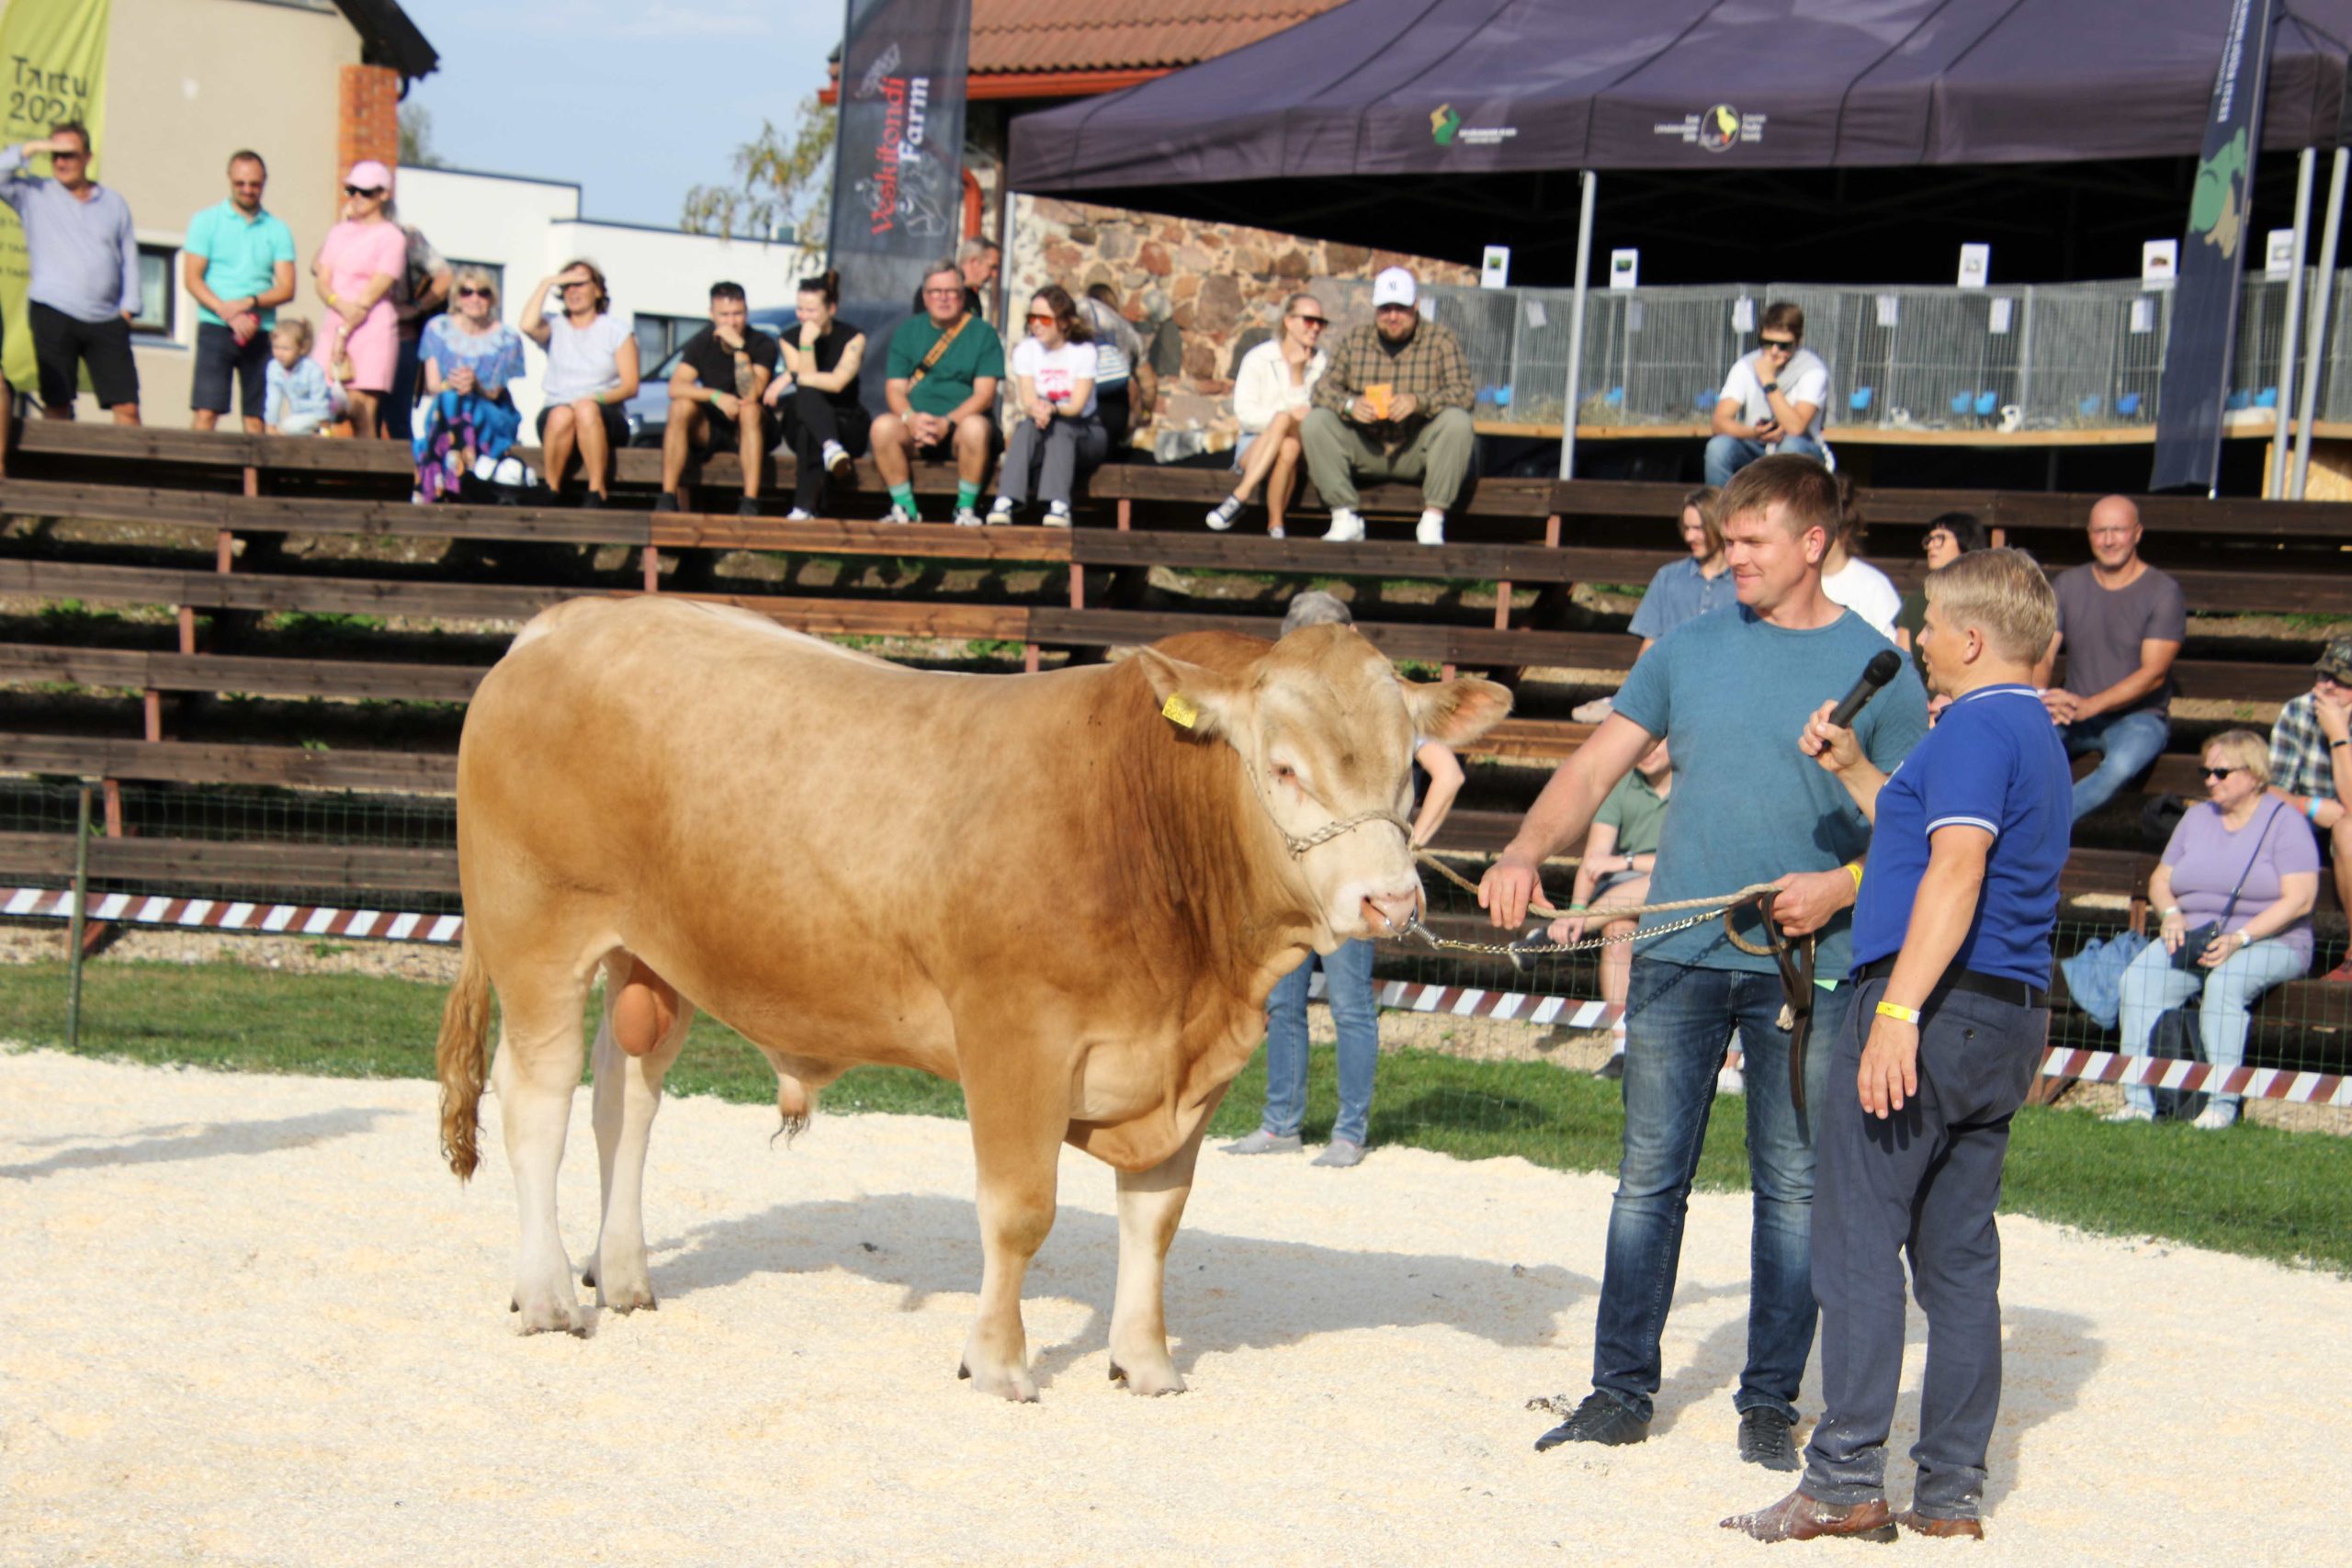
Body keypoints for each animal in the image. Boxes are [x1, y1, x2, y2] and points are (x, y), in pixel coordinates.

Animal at [439, 597, 1505, 1401]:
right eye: (1284, 766)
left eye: (1407, 768)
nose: (1389, 900)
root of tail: (561, 625)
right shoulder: (1014, 1036)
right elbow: (1020, 1211)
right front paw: (997, 1362)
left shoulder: (1184, 1069)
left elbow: (1156, 1217)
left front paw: (1145, 1361)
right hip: (539, 936)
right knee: (537, 1104)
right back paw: (548, 1295)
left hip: (650, 957)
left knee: (627, 1100)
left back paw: (621, 1275)